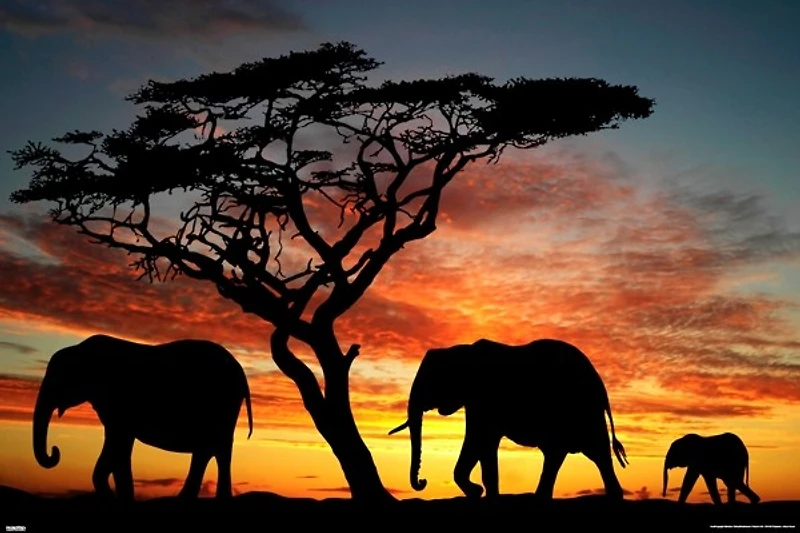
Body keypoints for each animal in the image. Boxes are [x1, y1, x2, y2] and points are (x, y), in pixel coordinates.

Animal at [32, 334, 253, 501]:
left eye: (59, 378)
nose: (55, 451)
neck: (80, 349)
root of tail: (240, 371)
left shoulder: (119, 403)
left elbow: (119, 446)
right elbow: (117, 447)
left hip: (222, 405)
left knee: (216, 450)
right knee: (209, 451)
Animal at [389, 338, 629, 500]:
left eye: (430, 382)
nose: (423, 481)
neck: (461, 351)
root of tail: (600, 384)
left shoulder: (485, 399)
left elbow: (480, 440)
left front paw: (480, 492)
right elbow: (479, 444)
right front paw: (479, 493)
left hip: (583, 411)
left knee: (596, 453)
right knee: (562, 454)